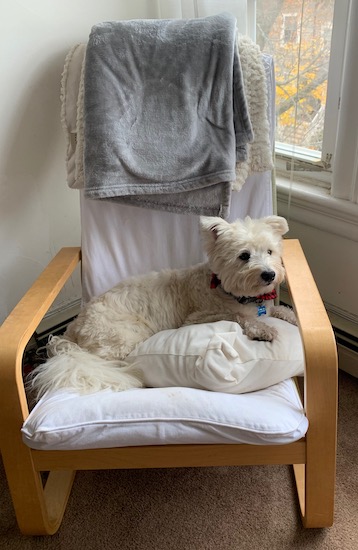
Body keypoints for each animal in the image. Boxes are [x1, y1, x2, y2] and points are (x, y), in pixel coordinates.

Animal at [30, 215, 296, 396]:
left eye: (270, 251)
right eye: (244, 255)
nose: (270, 275)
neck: (230, 291)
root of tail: (73, 329)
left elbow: (278, 310)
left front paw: (291, 316)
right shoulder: (198, 317)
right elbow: (238, 316)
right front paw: (263, 329)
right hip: (122, 339)